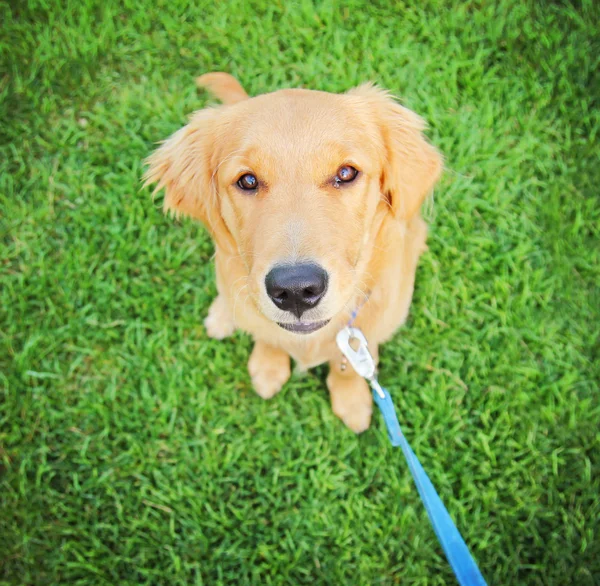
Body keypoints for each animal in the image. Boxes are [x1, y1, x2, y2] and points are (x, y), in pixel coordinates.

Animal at [145, 72, 442, 428]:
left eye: (346, 173)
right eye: (247, 180)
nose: (296, 290)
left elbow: (349, 364)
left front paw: (351, 400)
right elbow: (266, 333)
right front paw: (268, 367)